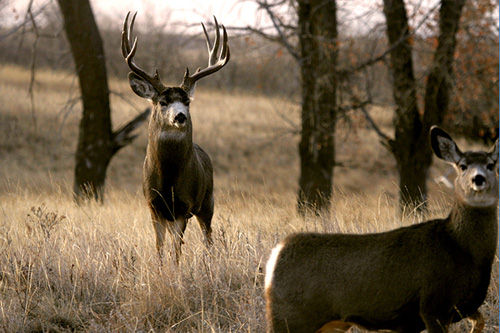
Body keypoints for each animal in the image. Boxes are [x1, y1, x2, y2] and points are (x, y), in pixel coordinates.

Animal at [121, 12, 230, 262]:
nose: (180, 116)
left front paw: (176, 268)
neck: (168, 179)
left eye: (187, 101)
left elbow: (177, 248)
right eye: (163, 102)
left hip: (207, 201)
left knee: (208, 238)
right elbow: (160, 246)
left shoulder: (183, 205)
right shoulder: (153, 205)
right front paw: (161, 267)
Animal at [264, 126, 498, 330]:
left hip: (329, 324)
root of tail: (275, 256)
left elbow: (481, 320)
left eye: (491, 165)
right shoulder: (433, 306)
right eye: (463, 165)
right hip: (290, 317)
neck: (462, 249)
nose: (478, 179)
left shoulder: (456, 309)